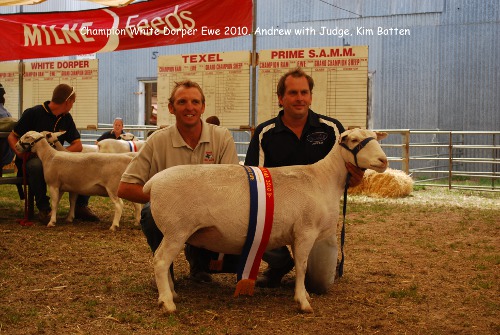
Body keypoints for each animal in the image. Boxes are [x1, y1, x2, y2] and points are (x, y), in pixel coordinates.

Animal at [143, 128, 388, 316]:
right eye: (354, 140)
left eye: (375, 137)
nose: (383, 161)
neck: (322, 178)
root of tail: (153, 182)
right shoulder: (305, 230)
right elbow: (302, 266)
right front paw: (302, 302)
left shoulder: (297, 234)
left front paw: (304, 295)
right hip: (177, 229)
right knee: (161, 261)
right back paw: (167, 303)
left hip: (173, 231)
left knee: (161, 260)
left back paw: (171, 294)